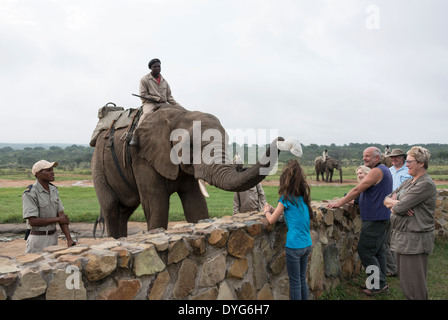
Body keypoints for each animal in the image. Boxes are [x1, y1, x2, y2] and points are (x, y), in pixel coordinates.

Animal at [92, 104, 288, 239]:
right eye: (191, 146)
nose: (281, 139)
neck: (181, 113)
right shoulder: (142, 157)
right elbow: (157, 206)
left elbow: (196, 204)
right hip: (98, 167)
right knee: (111, 208)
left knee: (125, 210)